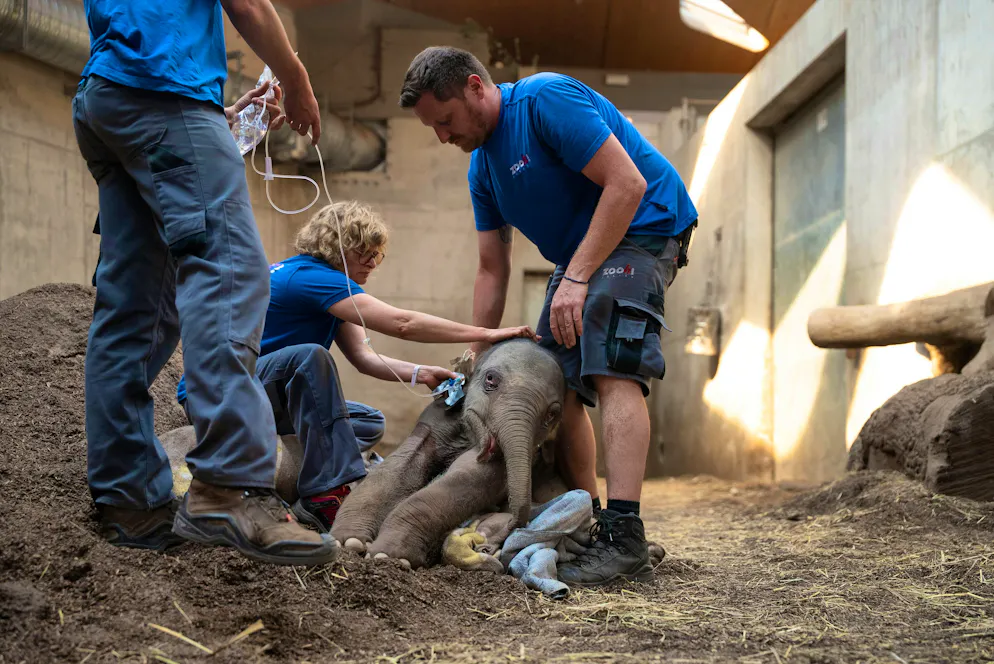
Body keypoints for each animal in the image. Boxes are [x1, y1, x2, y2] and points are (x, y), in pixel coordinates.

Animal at [329, 338, 568, 569]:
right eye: (491, 379)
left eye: (552, 414)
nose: (510, 522)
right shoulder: (437, 418)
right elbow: (399, 465)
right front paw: (350, 542)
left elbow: (468, 478)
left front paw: (389, 556)